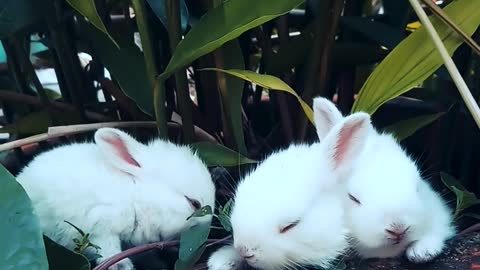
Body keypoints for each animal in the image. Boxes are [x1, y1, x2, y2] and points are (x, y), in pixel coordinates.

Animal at [15, 127, 214, 268]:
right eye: (194, 203)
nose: (210, 226)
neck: (135, 196)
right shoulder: (100, 226)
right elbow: (109, 251)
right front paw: (121, 266)